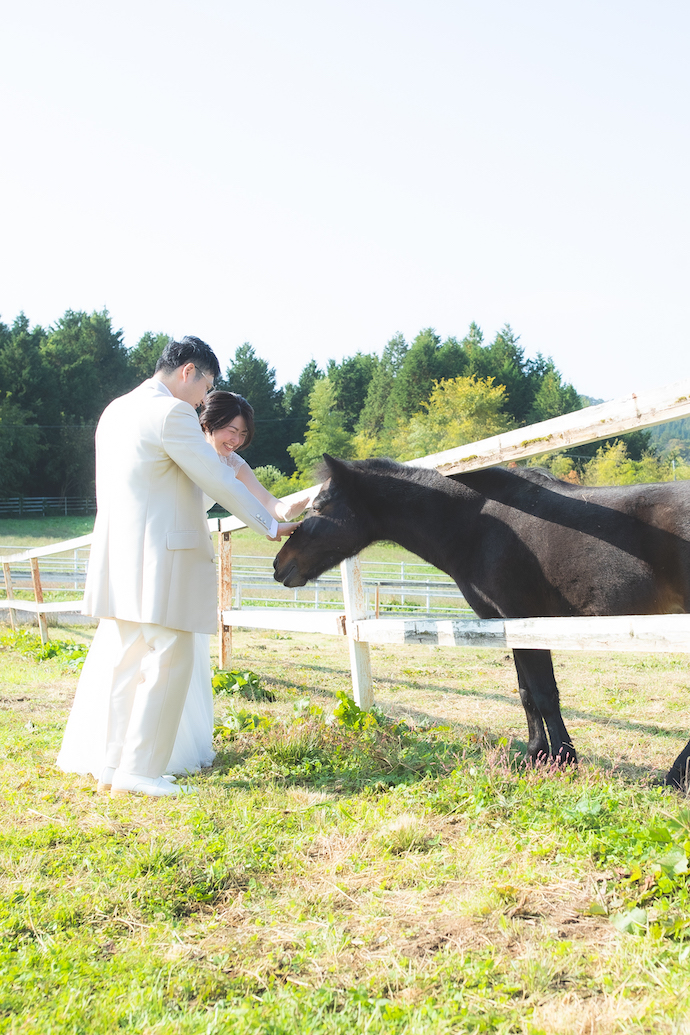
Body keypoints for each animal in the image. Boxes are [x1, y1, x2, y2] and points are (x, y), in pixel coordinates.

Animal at [275, 457, 690, 786]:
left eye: (320, 507)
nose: (280, 565)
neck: (481, 526)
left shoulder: (525, 620)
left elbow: (545, 694)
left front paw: (564, 760)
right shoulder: (508, 624)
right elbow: (526, 694)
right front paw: (536, 755)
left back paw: (674, 776)